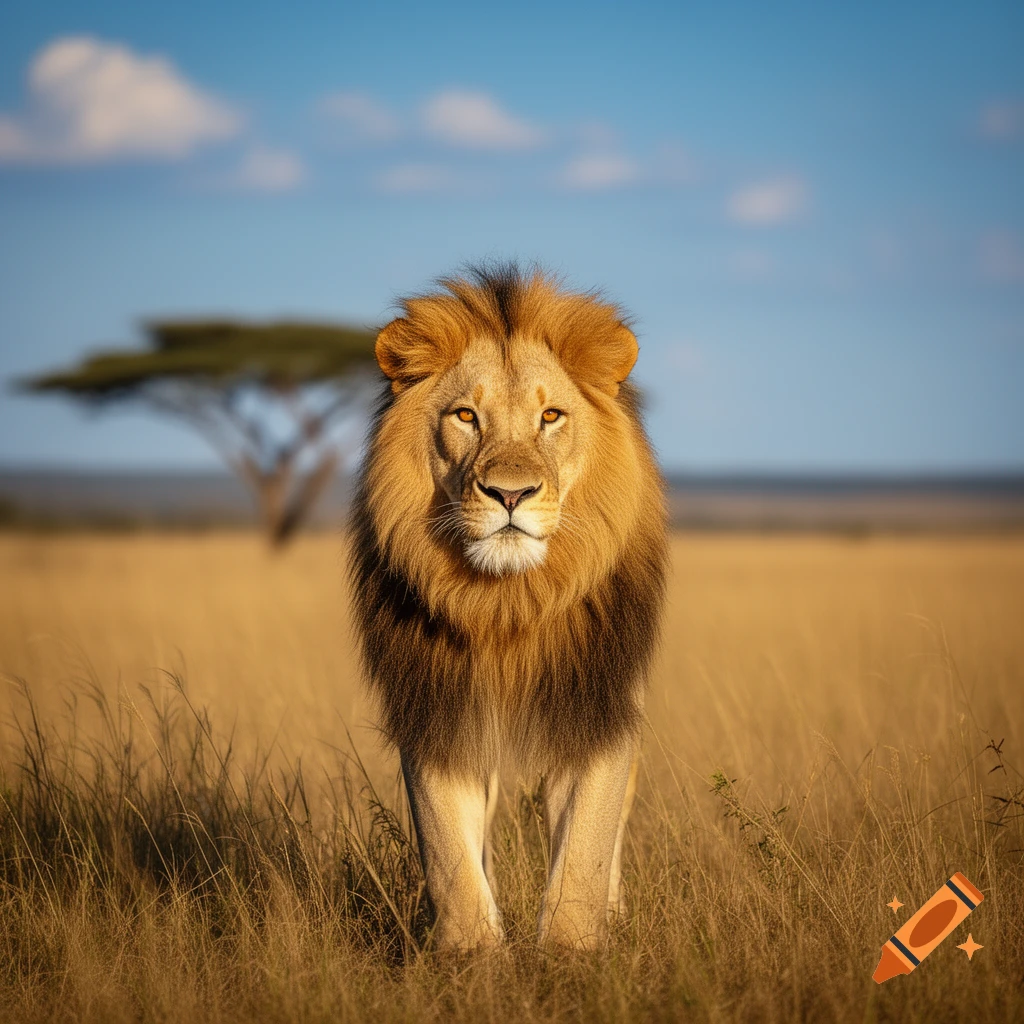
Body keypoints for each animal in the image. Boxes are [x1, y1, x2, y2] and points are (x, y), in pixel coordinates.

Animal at [349, 264, 667, 950]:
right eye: (466, 415)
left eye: (551, 415)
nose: (511, 493)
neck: (508, 605)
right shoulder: (439, 710)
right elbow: (451, 855)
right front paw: (472, 955)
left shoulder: (598, 706)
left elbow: (585, 849)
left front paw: (572, 951)